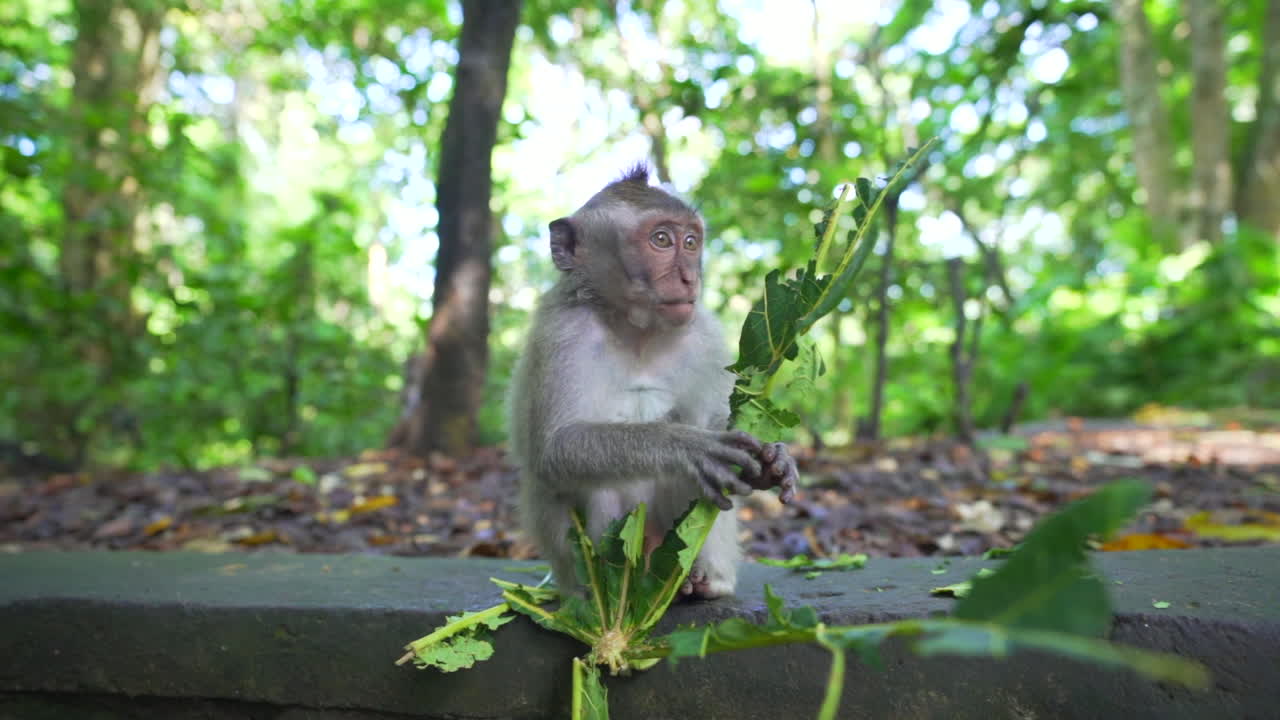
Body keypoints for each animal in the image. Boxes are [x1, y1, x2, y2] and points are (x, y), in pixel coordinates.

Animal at [507, 164, 798, 599]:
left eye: (691, 242)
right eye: (661, 240)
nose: (689, 278)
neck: (636, 332)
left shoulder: (705, 336)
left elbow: (721, 427)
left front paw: (772, 457)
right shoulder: (563, 332)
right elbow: (555, 448)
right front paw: (688, 446)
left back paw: (699, 582)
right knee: (599, 483)